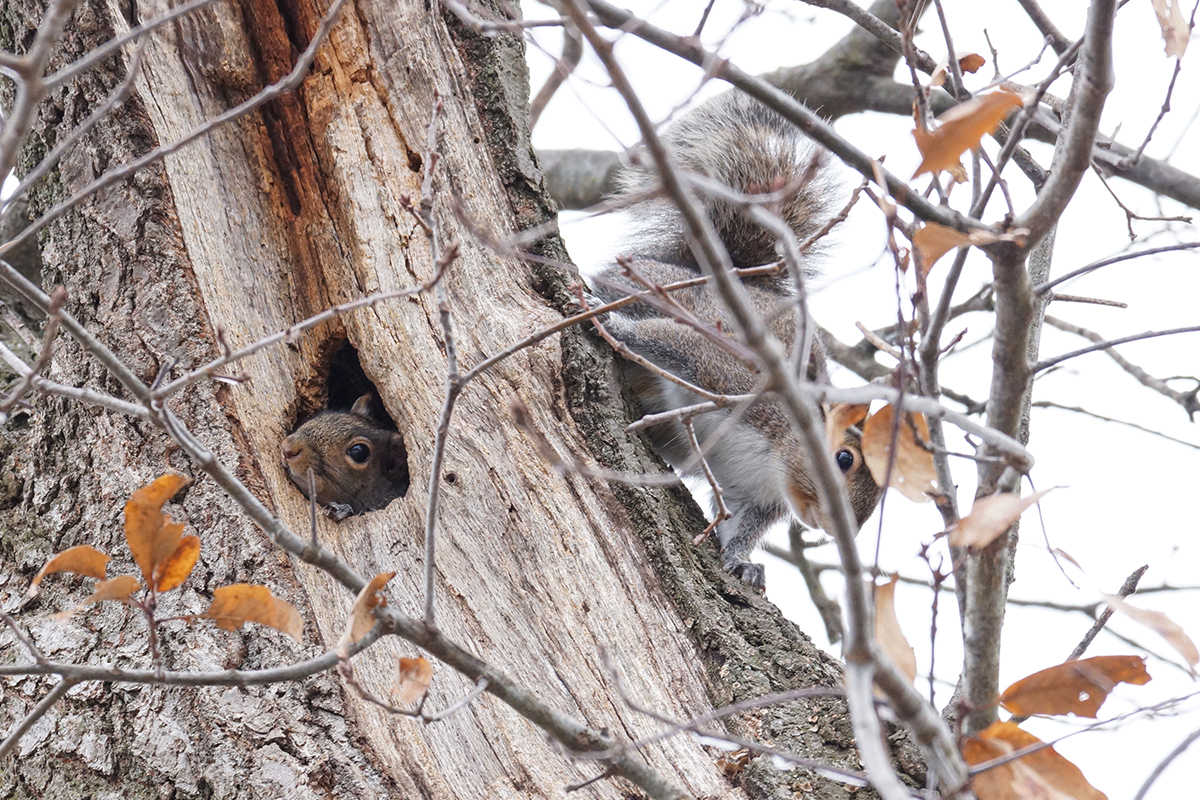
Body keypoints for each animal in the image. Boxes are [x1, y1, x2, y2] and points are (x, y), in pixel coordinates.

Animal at [588, 90, 883, 592]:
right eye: (844, 458)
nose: (834, 526)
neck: (775, 454)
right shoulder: (726, 374)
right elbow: (672, 343)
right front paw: (614, 328)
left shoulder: (758, 495)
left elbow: (741, 525)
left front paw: (742, 561)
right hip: (663, 291)